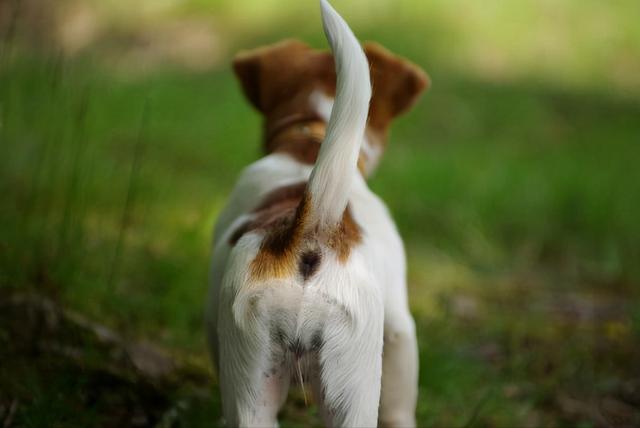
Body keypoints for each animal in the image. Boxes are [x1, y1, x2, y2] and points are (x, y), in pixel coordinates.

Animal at [206, 1, 430, 426]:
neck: (309, 142)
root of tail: (310, 228)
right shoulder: (399, 325)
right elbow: (400, 404)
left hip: (254, 385)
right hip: (352, 382)